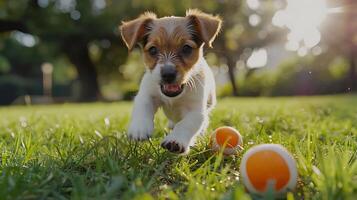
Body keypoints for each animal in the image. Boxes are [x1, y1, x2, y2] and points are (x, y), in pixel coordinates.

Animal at [121, 9, 221, 154]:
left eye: (186, 48)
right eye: (152, 50)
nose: (168, 74)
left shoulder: (196, 111)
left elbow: (186, 123)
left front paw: (176, 140)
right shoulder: (146, 95)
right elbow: (142, 108)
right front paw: (139, 128)